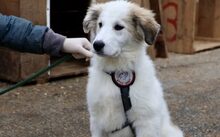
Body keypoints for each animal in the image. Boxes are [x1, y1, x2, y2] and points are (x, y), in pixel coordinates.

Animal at [83, 1, 183, 137]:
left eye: (118, 27)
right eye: (100, 24)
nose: (97, 45)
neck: (116, 70)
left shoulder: (145, 122)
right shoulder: (96, 120)